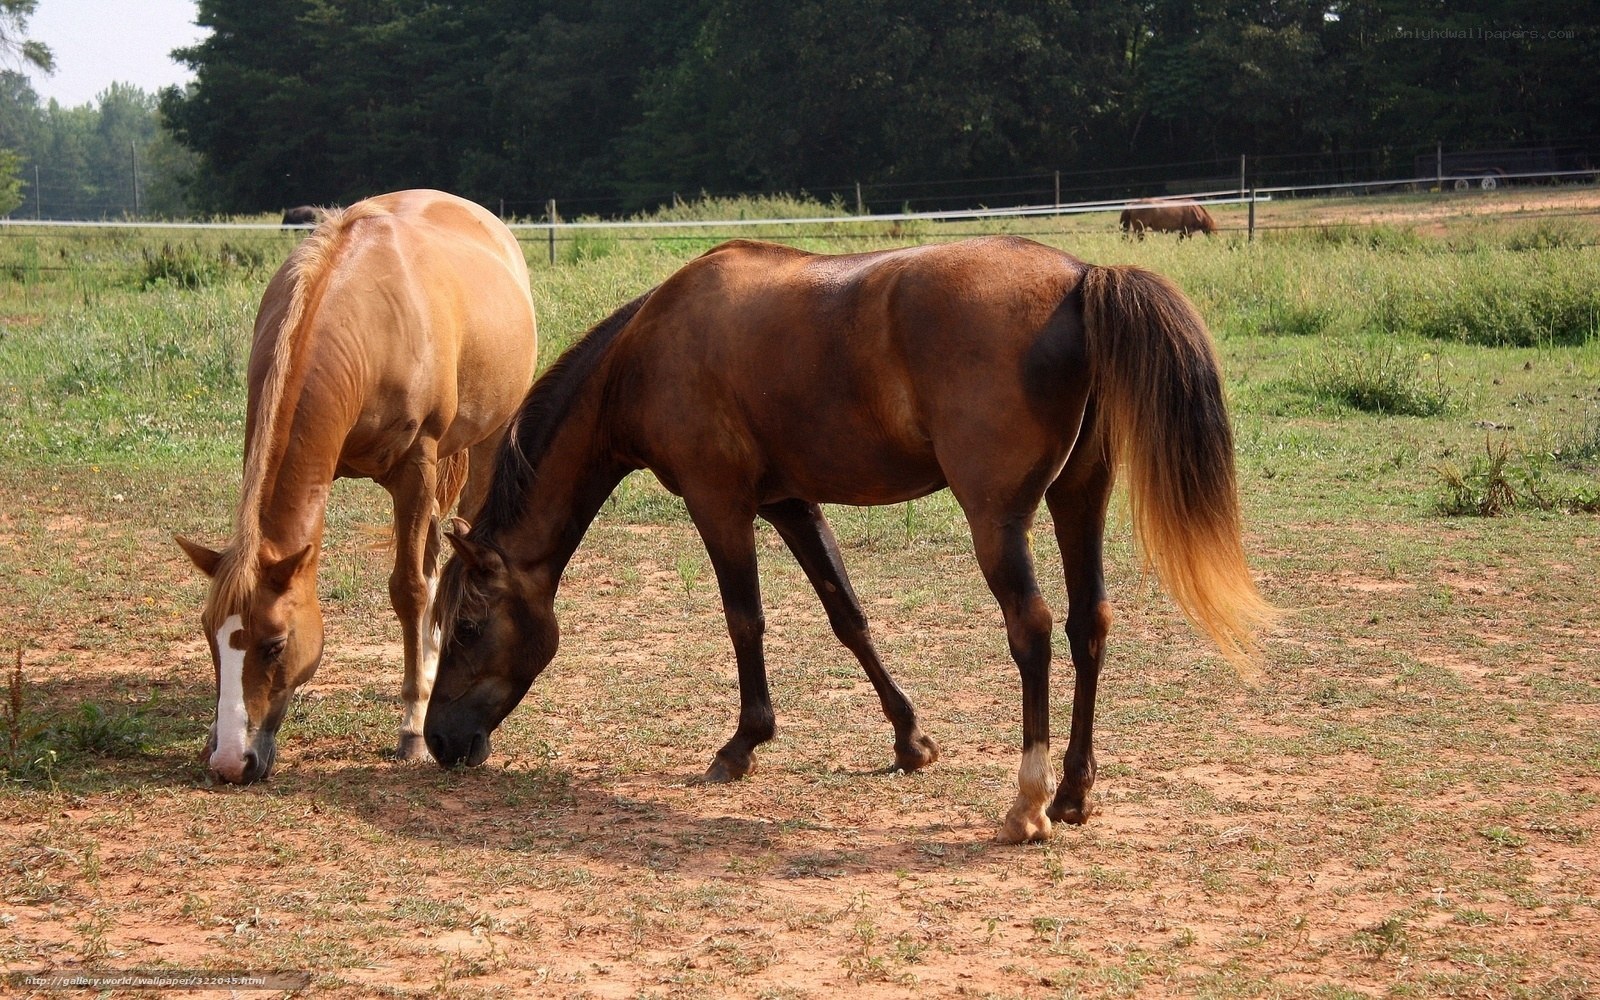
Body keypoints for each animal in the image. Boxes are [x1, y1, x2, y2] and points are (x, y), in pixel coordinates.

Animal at [175, 189, 539, 784]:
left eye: (274, 644)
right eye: (209, 635)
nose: (230, 761)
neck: (358, 321)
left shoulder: (416, 469)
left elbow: (409, 589)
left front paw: (412, 727)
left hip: (485, 443)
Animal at [425, 236, 1274, 843]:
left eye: (466, 628)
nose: (440, 740)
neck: (648, 350)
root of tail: (1079, 278)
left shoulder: (719, 503)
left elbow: (745, 621)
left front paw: (742, 744)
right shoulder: (791, 503)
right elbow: (848, 616)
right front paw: (910, 741)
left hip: (998, 520)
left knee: (1031, 630)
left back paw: (1026, 803)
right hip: (1078, 500)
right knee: (1087, 623)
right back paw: (1071, 793)